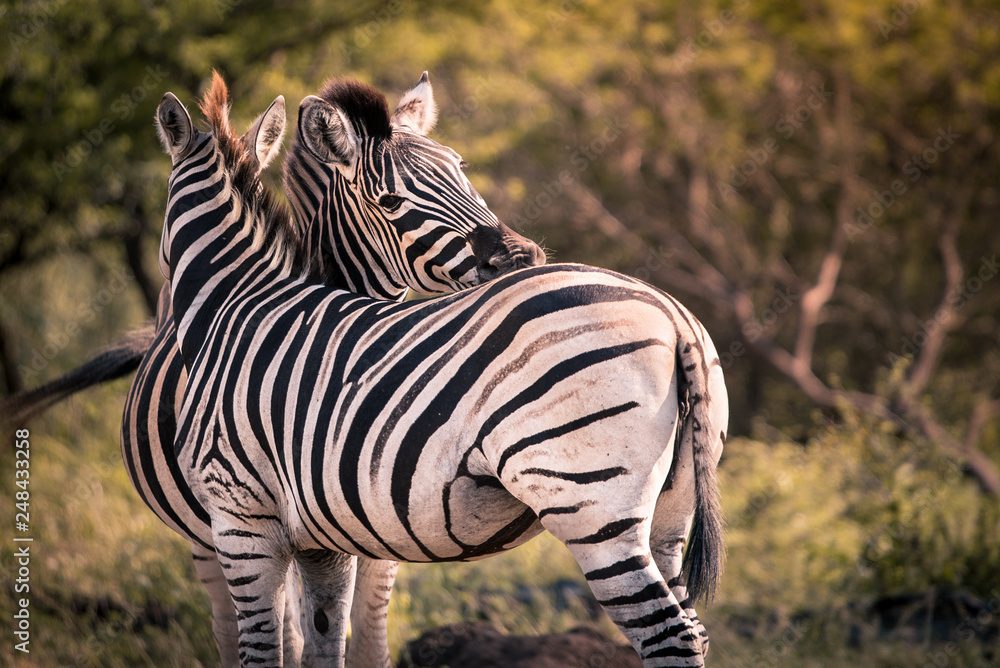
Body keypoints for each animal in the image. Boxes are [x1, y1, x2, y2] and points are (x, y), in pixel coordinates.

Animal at [4, 72, 543, 667]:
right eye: (389, 200)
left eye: (461, 169)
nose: (520, 258)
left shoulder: (379, 528)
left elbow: (367, 637)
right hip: (208, 536)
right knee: (238, 624)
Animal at [157, 74, 727, 668]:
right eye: (387, 200)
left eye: (462, 169)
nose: (519, 258)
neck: (237, 301)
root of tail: (672, 315)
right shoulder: (321, 539)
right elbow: (323, 641)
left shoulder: (241, 521)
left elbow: (264, 650)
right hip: (672, 509)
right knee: (693, 627)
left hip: (591, 507)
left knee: (668, 633)